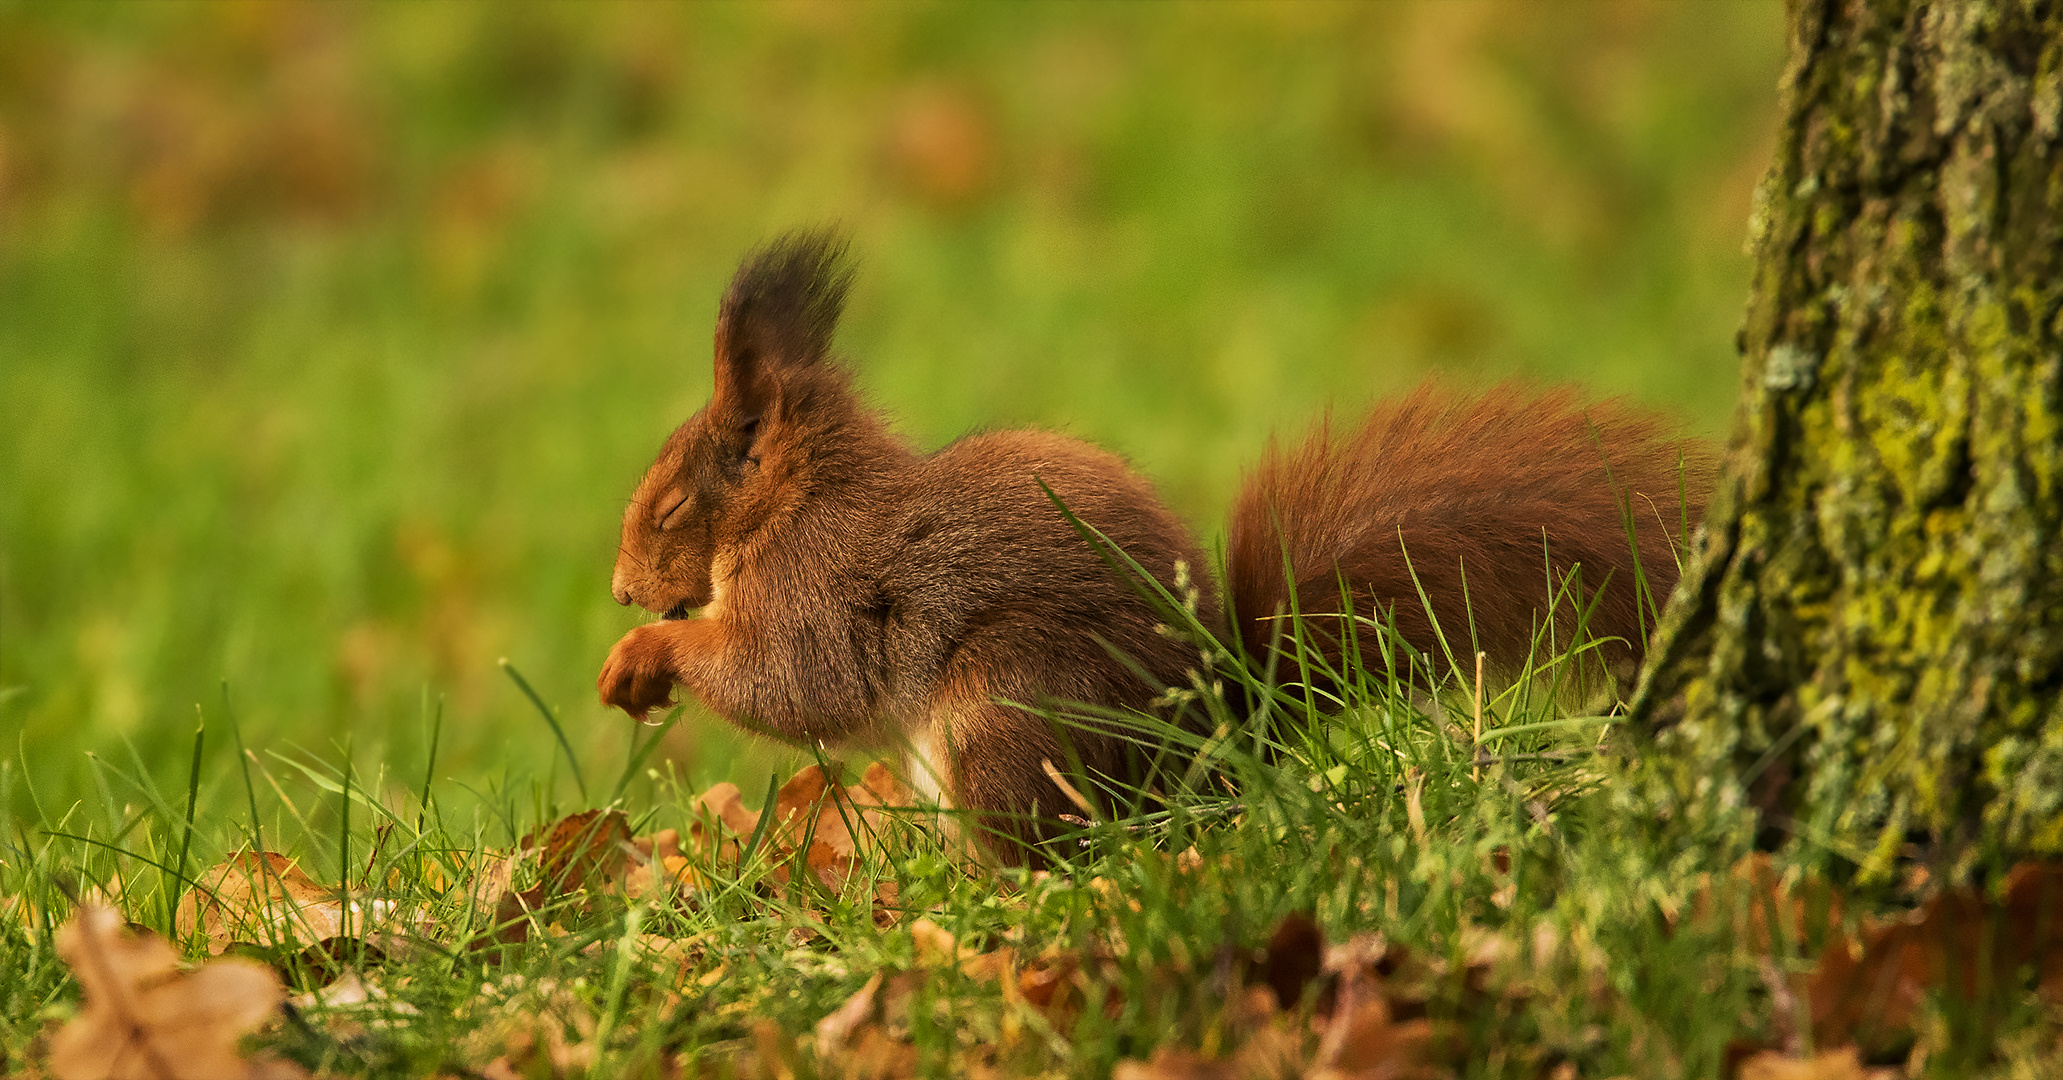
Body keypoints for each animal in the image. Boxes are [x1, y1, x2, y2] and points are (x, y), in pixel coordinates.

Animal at [598, 229, 1708, 861]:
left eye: (669, 507)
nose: (617, 592)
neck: (795, 504)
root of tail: (1226, 734)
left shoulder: (818, 588)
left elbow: (790, 684)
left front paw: (644, 657)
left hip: (1009, 713)